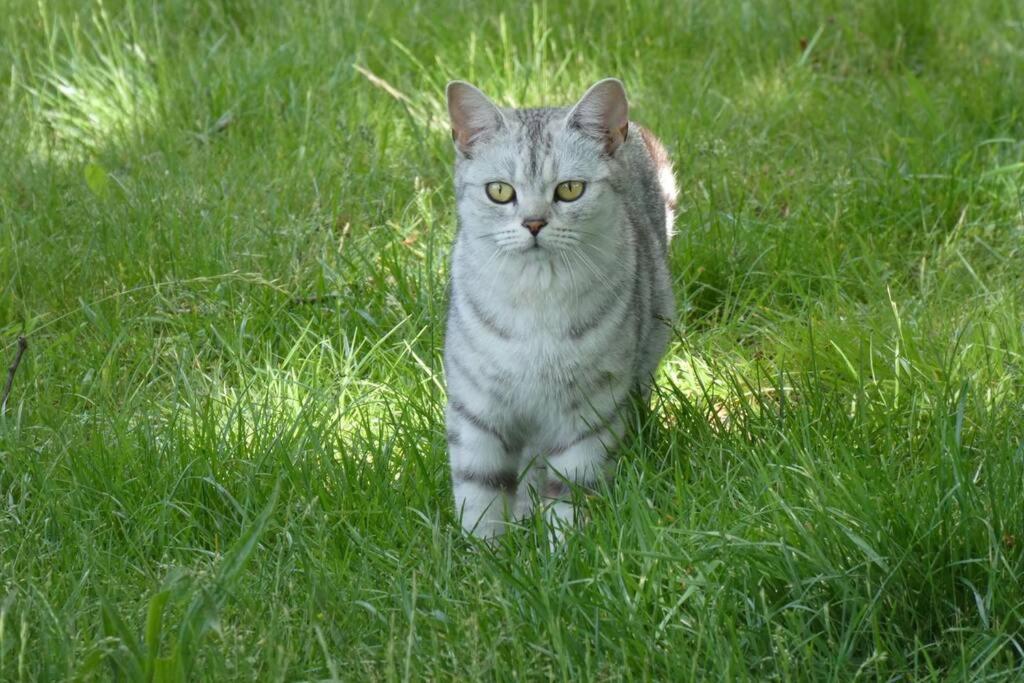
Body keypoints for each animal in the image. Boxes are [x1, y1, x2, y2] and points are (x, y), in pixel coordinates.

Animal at [444, 78, 675, 540]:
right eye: (500, 191)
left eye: (569, 189)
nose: (533, 223)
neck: (537, 298)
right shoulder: (476, 410)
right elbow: (479, 494)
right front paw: (485, 554)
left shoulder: (588, 412)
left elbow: (570, 490)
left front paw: (564, 548)